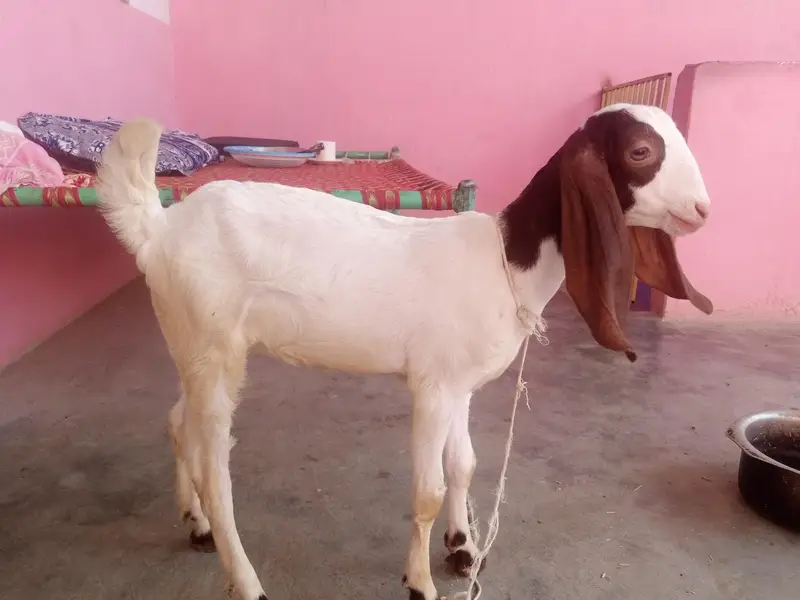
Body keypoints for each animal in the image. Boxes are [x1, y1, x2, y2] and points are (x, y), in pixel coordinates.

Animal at [96, 103, 713, 600]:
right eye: (640, 151)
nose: (704, 210)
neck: (505, 261)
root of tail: (158, 231)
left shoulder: (459, 385)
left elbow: (464, 465)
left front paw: (462, 548)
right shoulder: (432, 388)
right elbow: (427, 491)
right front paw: (419, 582)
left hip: (196, 347)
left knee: (180, 424)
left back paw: (196, 524)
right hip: (214, 348)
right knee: (215, 467)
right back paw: (245, 580)